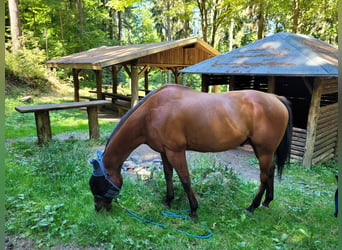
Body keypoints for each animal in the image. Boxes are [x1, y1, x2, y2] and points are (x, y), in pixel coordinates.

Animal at [89, 84, 292, 219]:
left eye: (98, 185)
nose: (98, 208)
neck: (153, 111)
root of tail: (275, 98)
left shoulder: (176, 151)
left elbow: (185, 179)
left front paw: (193, 210)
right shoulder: (164, 152)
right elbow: (168, 176)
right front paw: (168, 200)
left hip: (263, 150)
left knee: (264, 176)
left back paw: (252, 206)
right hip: (263, 151)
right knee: (271, 171)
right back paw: (267, 202)